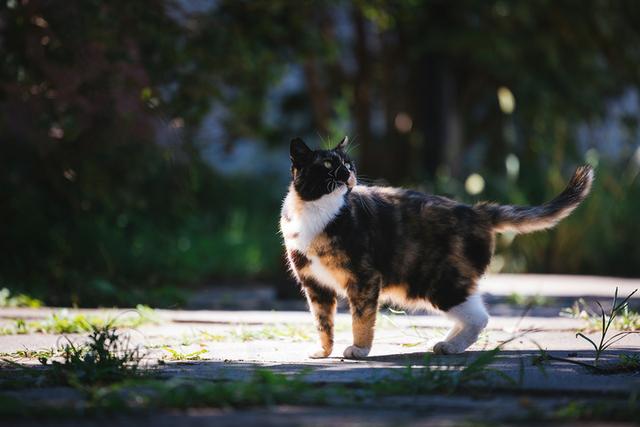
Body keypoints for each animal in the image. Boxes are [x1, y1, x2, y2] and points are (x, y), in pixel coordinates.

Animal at [280, 136, 596, 358]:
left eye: (349, 164)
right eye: (328, 166)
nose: (347, 176)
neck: (318, 212)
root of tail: (476, 211)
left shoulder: (364, 278)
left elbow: (362, 318)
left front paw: (359, 349)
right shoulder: (315, 286)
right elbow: (322, 321)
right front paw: (323, 352)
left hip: (434, 282)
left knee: (479, 317)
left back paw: (452, 347)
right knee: (472, 309)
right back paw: (447, 343)